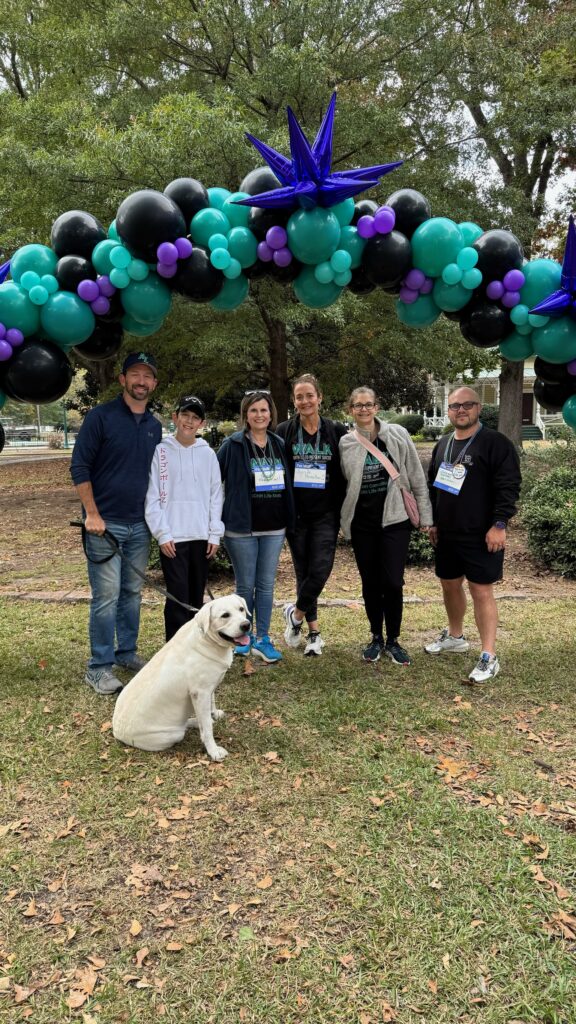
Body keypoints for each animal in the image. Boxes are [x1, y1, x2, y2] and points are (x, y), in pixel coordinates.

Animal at [112, 593, 249, 761]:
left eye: (241, 609)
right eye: (225, 615)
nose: (246, 625)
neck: (207, 639)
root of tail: (117, 732)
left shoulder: (209, 687)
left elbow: (212, 702)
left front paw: (214, 713)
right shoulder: (200, 693)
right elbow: (207, 729)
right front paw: (213, 750)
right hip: (173, 734)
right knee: (184, 728)